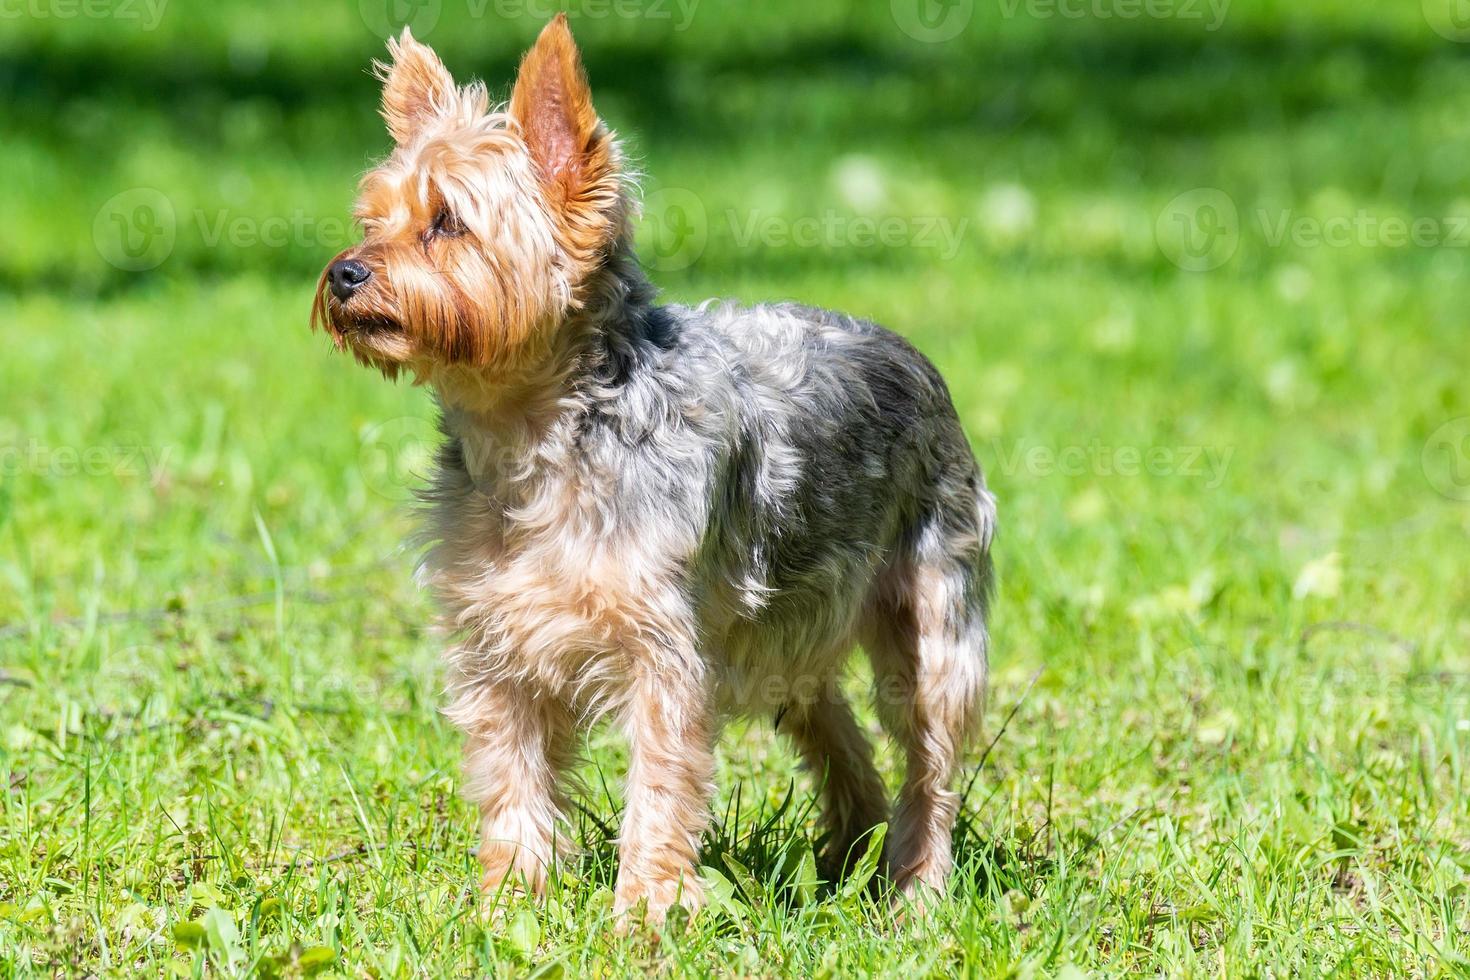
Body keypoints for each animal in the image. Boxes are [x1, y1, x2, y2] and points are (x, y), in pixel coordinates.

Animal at [314, 13, 993, 922]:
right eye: (372, 220)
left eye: (448, 221)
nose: (345, 271)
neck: (539, 437)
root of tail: (912, 353)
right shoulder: (496, 643)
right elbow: (512, 776)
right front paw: (507, 905)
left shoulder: (664, 649)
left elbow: (662, 784)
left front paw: (644, 915)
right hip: (788, 623)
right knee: (826, 714)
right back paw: (850, 846)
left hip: (932, 610)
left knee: (930, 756)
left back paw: (916, 888)